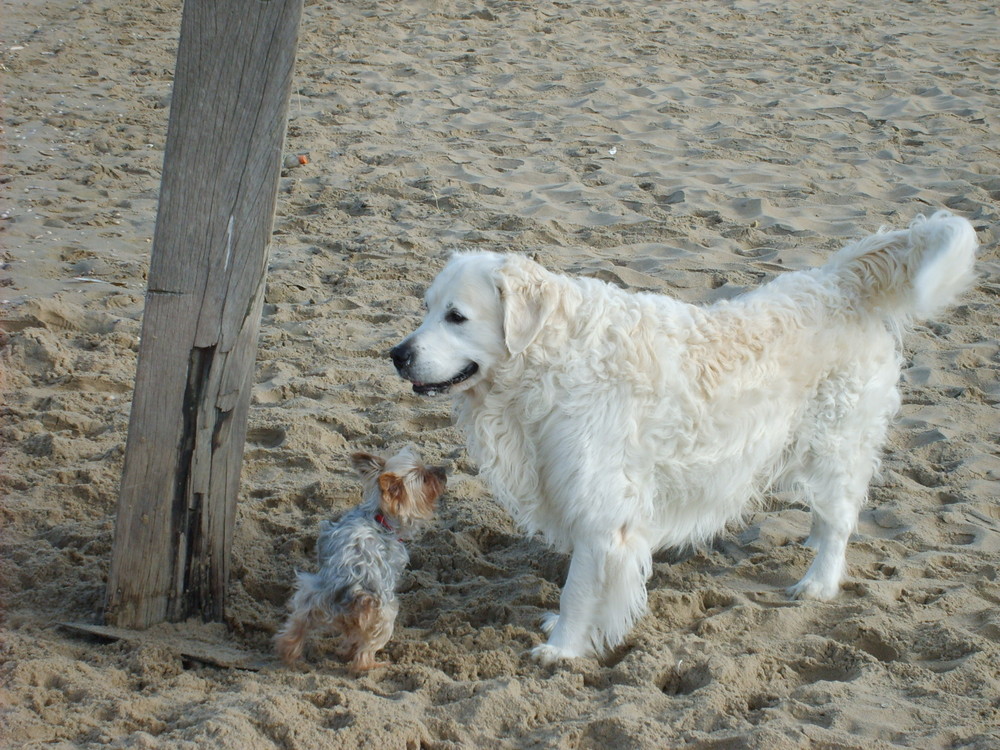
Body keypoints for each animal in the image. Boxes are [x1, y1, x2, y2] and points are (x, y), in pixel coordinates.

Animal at [274, 450, 446, 672]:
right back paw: (373, 664)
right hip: (385, 614)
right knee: (365, 651)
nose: (443, 470)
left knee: (297, 627)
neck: (378, 517)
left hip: (310, 596)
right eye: (425, 478)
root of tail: (355, 592)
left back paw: (290, 653)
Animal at [388, 212, 976, 664]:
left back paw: (818, 580)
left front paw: (563, 648)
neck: (550, 361)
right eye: (426, 308)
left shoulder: (602, 508)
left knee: (841, 519)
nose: (396, 354)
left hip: (835, 441)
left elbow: (582, 587)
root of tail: (837, 281)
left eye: (457, 316)